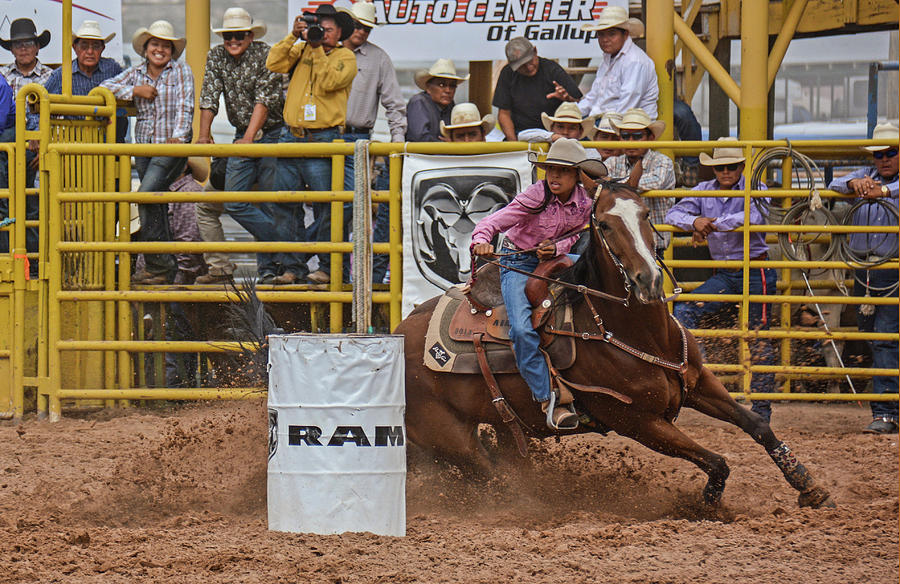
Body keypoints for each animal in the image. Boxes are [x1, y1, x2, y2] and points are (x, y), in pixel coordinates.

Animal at [398, 180, 832, 508]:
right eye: (604, 225)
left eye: (645, 215)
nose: (648, 280)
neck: (636, 333)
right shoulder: (638, 422)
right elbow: (717, 462)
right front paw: (709, 504)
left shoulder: (698, 383)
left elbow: (758, 425)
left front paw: (809, 486)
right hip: (449, 435)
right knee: (490, 474)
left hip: (502, 424)